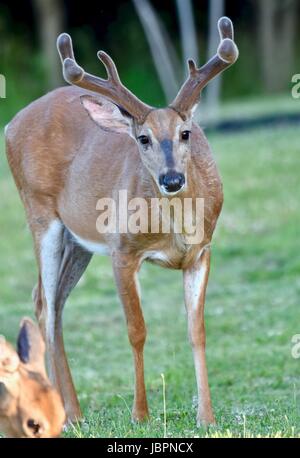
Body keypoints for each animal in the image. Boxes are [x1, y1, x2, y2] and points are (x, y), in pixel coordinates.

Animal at [4, 17, 238, 426]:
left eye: (186, 133)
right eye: (142, 138)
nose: (172, 179)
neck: (174, 229)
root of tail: (10, 124)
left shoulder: (202, 251)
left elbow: (197, 330)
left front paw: (206, 417)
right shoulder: (122, 250)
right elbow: (136, 330)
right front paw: (140, 414)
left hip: (77, 242)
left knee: (49, 302)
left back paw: (69, 410)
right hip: (40, 213)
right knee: (45, 306)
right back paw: (66, 414)